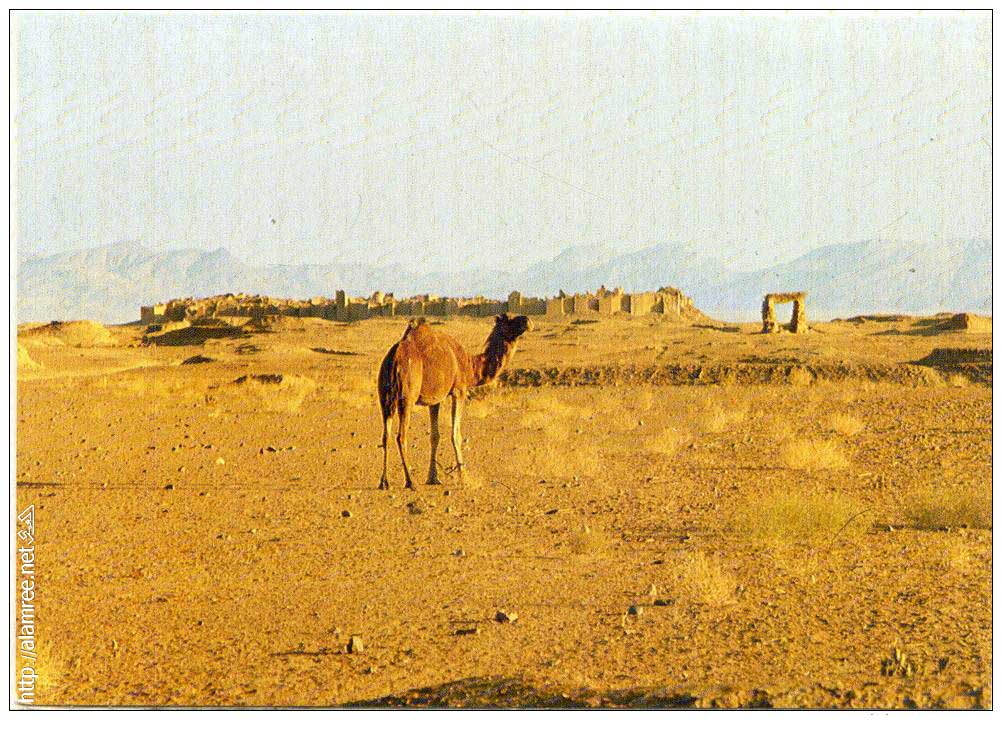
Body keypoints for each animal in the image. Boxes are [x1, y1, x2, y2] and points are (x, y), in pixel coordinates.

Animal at [377, 314, 532, 489]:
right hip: (406, 397)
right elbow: (456, 434)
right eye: (510, 320)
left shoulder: (434, 399)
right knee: (401, 436)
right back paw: (410, 481)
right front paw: (463, 477)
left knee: (386, 436)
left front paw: (433, 478)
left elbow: (435, 436)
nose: (527, 321)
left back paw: (384, 482)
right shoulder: (459, 391)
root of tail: (394, 358)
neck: (470, 366)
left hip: (385, 397)